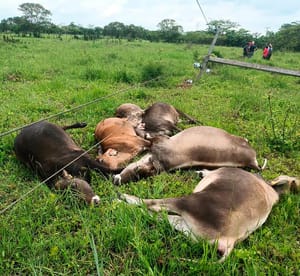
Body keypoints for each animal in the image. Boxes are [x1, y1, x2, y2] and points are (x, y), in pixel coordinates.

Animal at [119, 168, 298, 260]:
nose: (199, 172)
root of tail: (230, 241)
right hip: (187, 227)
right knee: (160, 216)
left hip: (188, 202)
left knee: (151, 205)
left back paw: (122, 200)